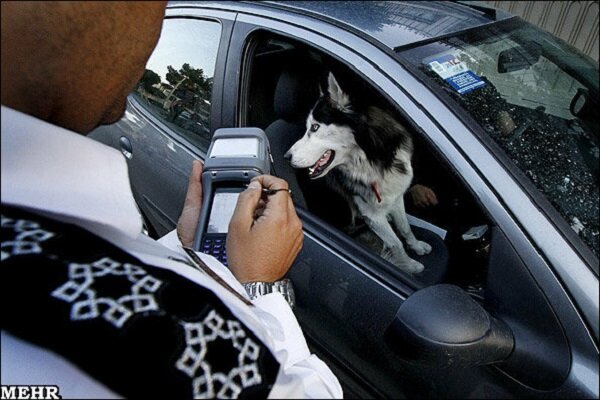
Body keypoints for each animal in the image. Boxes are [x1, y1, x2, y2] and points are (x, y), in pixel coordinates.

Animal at [286, 72, 432, 272]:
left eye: (315, 127)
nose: (287, 156)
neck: (373, 160)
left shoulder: (395, 197)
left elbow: (405, 228)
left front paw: (416, 247)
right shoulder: (371, 215)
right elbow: (396, 243)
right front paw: (410, 266)